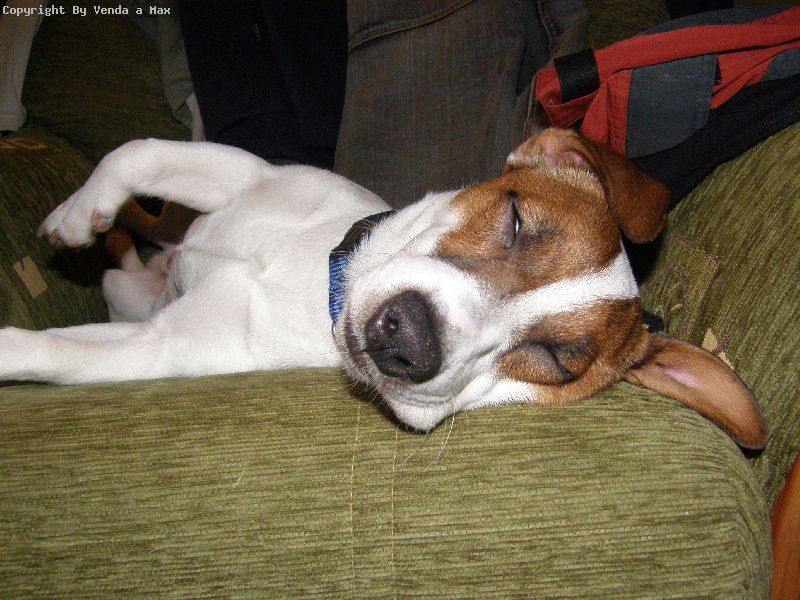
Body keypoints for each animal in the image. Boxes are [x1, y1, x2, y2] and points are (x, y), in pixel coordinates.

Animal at [0, 128, 767, 449]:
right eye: (517, 219)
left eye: (554, 362)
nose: (408, 340)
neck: (315, 285)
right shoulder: (247, 174)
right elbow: (139, 153)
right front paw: (77, 212)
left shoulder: (161, 347)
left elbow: (47, 351)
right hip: (136, 285)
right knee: (130, 246)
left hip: (136, 308)